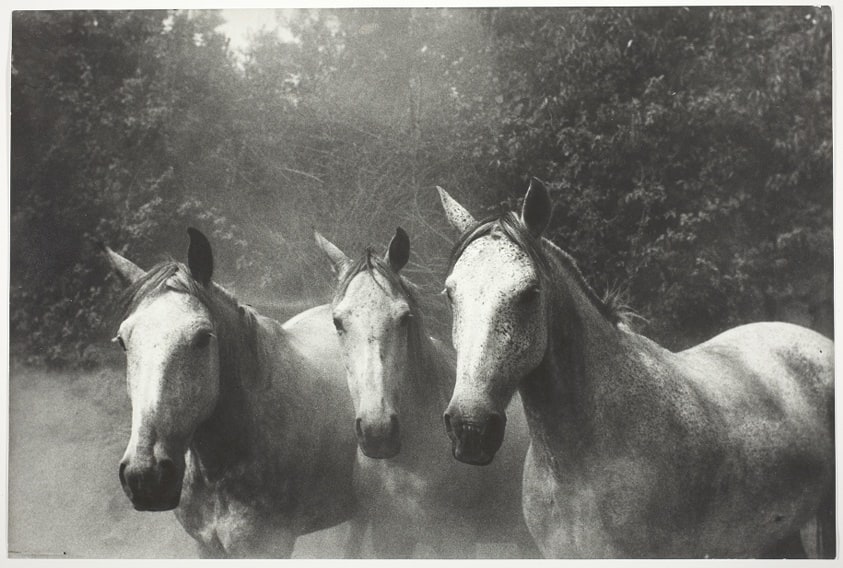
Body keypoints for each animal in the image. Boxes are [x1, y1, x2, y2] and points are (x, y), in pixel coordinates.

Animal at [314, 227, 540, 558]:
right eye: (337, 322)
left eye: (404, 317)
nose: (378, 432)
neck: (407, 467)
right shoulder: (388, 538)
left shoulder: (456, 540)